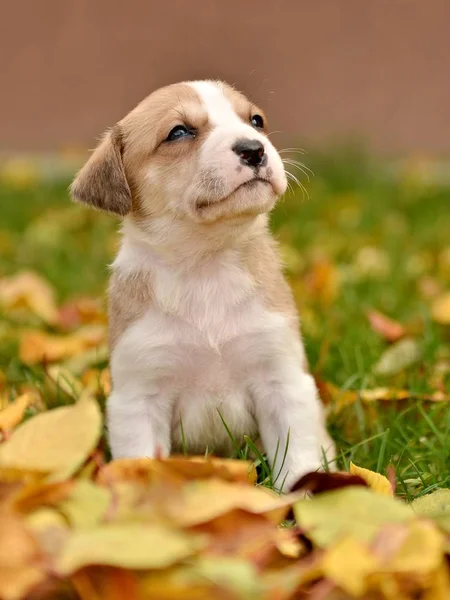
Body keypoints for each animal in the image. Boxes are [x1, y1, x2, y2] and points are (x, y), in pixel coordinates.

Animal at [70, 79, 334, 490]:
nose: (254, 149)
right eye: (179, 132)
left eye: (256, 121)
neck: (205, 265)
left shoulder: (283, 381)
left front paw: (307, 499)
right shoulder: (139, 398)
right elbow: (142, 463)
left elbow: (298, 460)